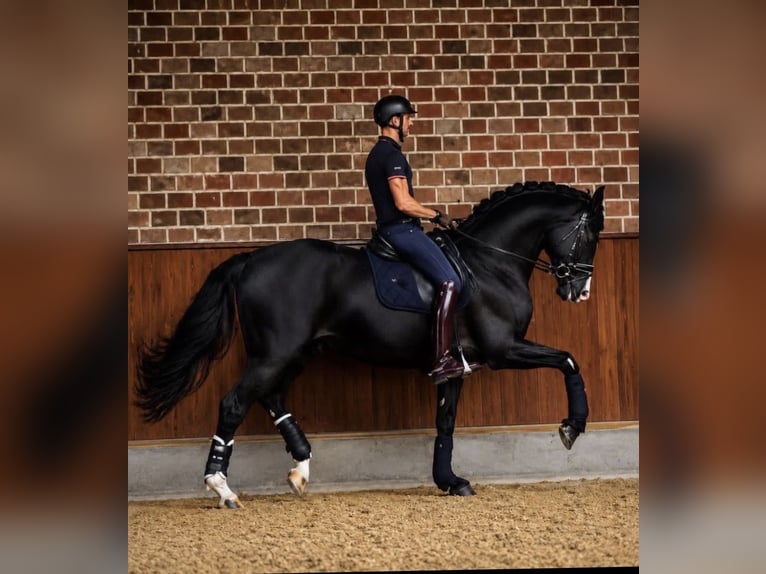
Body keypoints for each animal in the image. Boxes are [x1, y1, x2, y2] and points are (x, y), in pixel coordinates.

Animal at [135, 180, 605, 507]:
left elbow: (446, 423)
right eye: (589, 235)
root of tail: (250, 259)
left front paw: (450, 481)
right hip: (275, 353)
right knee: (235, 403)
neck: (490, 262)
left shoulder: (459, 364)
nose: (580, 292)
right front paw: (572, 426)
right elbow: (569, 360)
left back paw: (300, 468)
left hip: (293, 353)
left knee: (270, 396)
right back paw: (223, 489)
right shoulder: (503, 349)